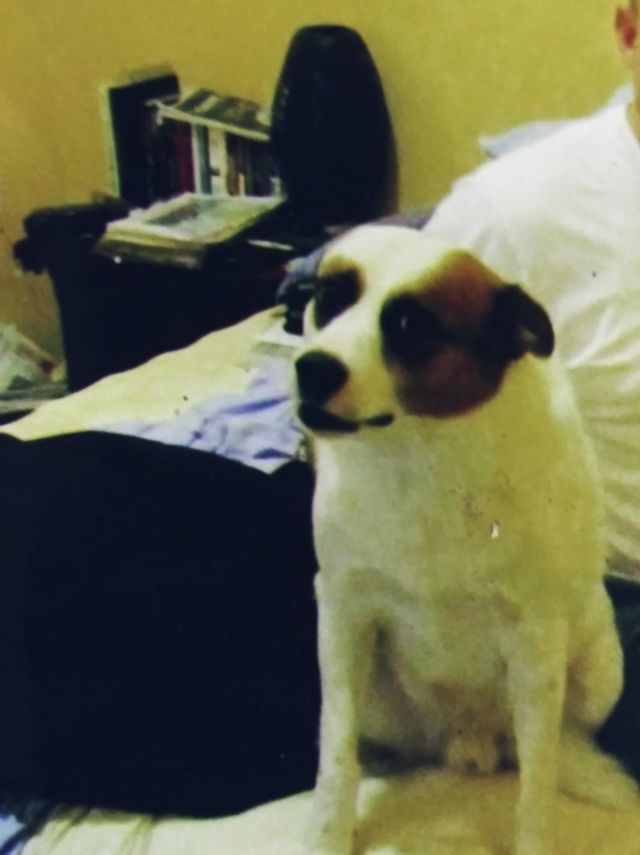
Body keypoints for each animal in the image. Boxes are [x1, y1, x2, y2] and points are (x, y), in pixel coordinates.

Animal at [293, 225, 638, 855]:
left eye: (411, 326)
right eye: (331, 297)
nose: (313, 369)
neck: (420, 453)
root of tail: (469, 733)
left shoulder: (534, 635)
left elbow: (537, 780)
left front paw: (536, 839)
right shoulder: (343, 614)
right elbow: (336, 755)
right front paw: (329, 834)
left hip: (599, 669)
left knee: (552, 744)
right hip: (369, 689)